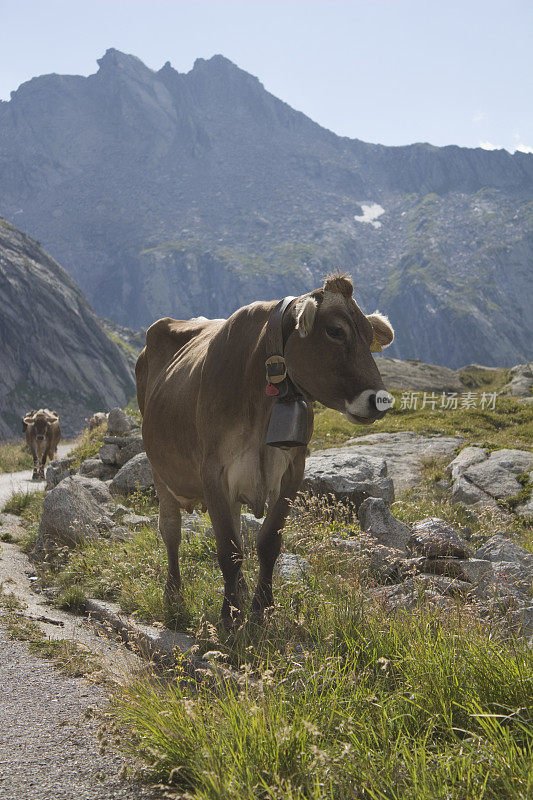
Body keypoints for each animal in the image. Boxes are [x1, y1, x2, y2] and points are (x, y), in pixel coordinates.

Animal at [136, 276, 394, 624]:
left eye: (369, 337)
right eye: (335, 331)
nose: (379, 400)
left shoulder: (292, 470)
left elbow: (267, 542)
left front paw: (261, 609)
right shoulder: (212, 471)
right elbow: (227, 548)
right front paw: (230, 618)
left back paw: (242, 591)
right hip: (159, 469)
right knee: (171, 531)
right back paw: (174, 594)